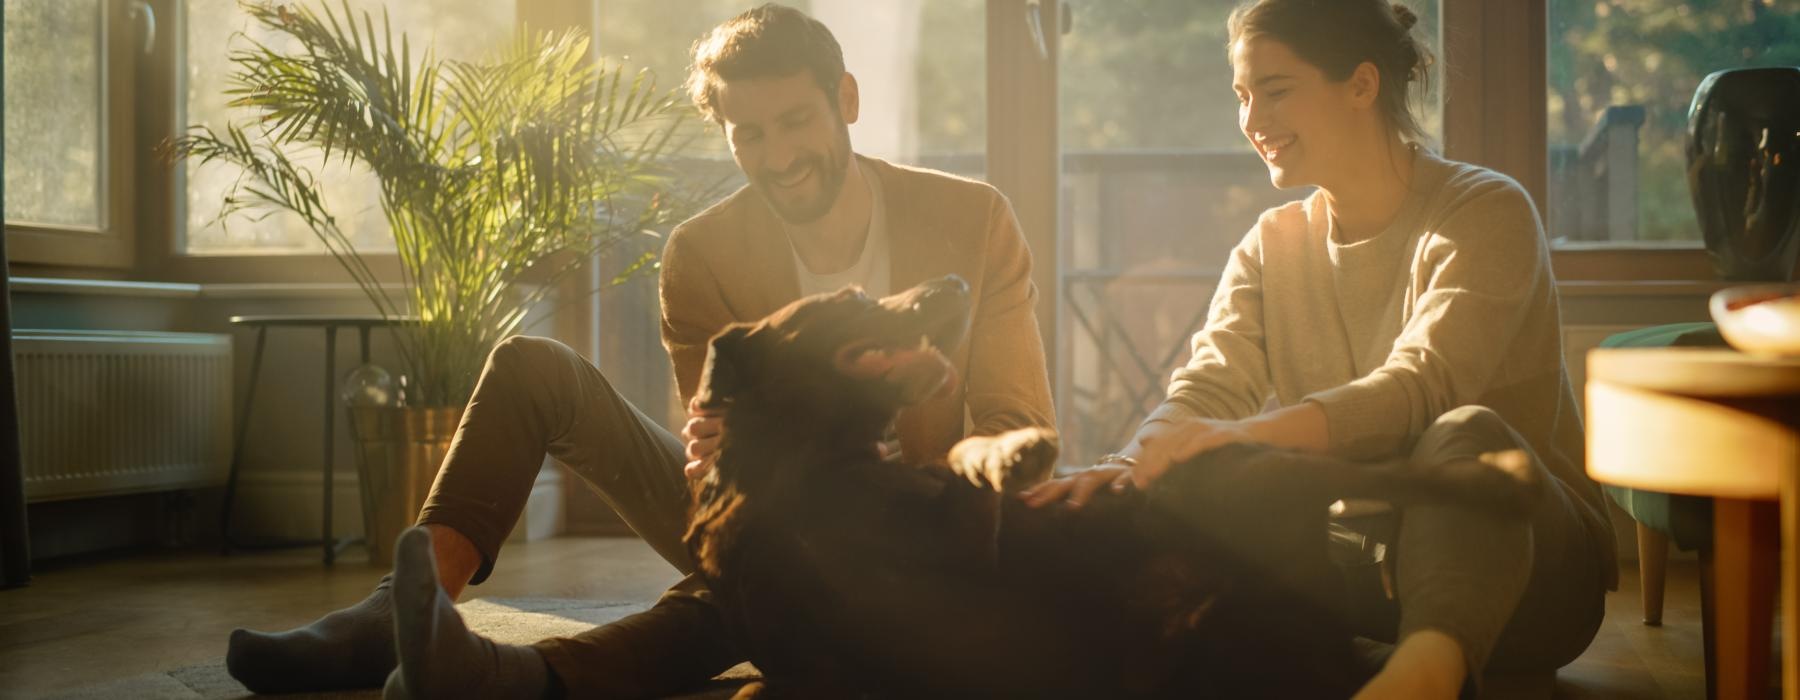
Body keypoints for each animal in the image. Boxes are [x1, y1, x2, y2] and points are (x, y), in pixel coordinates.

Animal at [680, 275, 1540, 694]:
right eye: (855, 297)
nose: (954, 281)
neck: (805, 474)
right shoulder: (806, 667)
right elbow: (764, 684)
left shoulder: (969, 548)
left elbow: (965, 468)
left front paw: (1009, 453)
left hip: (1223, 478)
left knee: (1365, 470)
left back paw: (1497, 479)